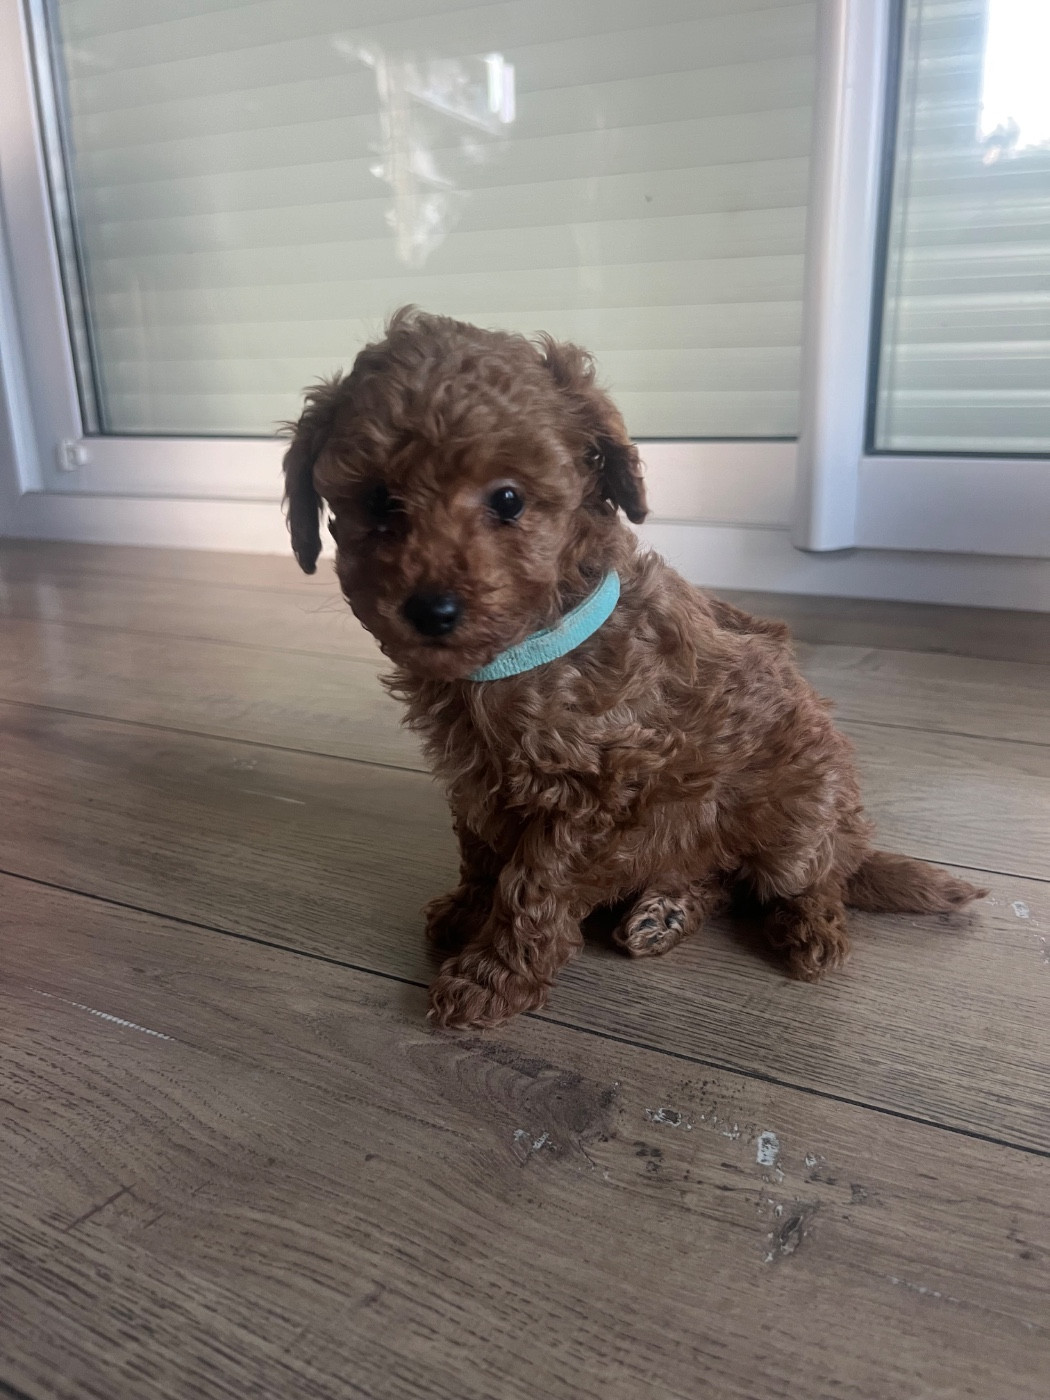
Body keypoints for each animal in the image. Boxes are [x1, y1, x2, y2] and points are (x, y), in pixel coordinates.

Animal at [282, 307, 986, 1029]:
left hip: (800, 809)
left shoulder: (598, 792)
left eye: (507, 500)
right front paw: (467, 911)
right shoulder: (474, 779)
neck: (527, 649)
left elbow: (533, 886)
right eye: (378, 501)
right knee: (718, 879)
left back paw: (810, 928)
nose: (431, 609)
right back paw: (667, 909)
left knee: (808, 877)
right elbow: (480, 851)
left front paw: (493, 976)